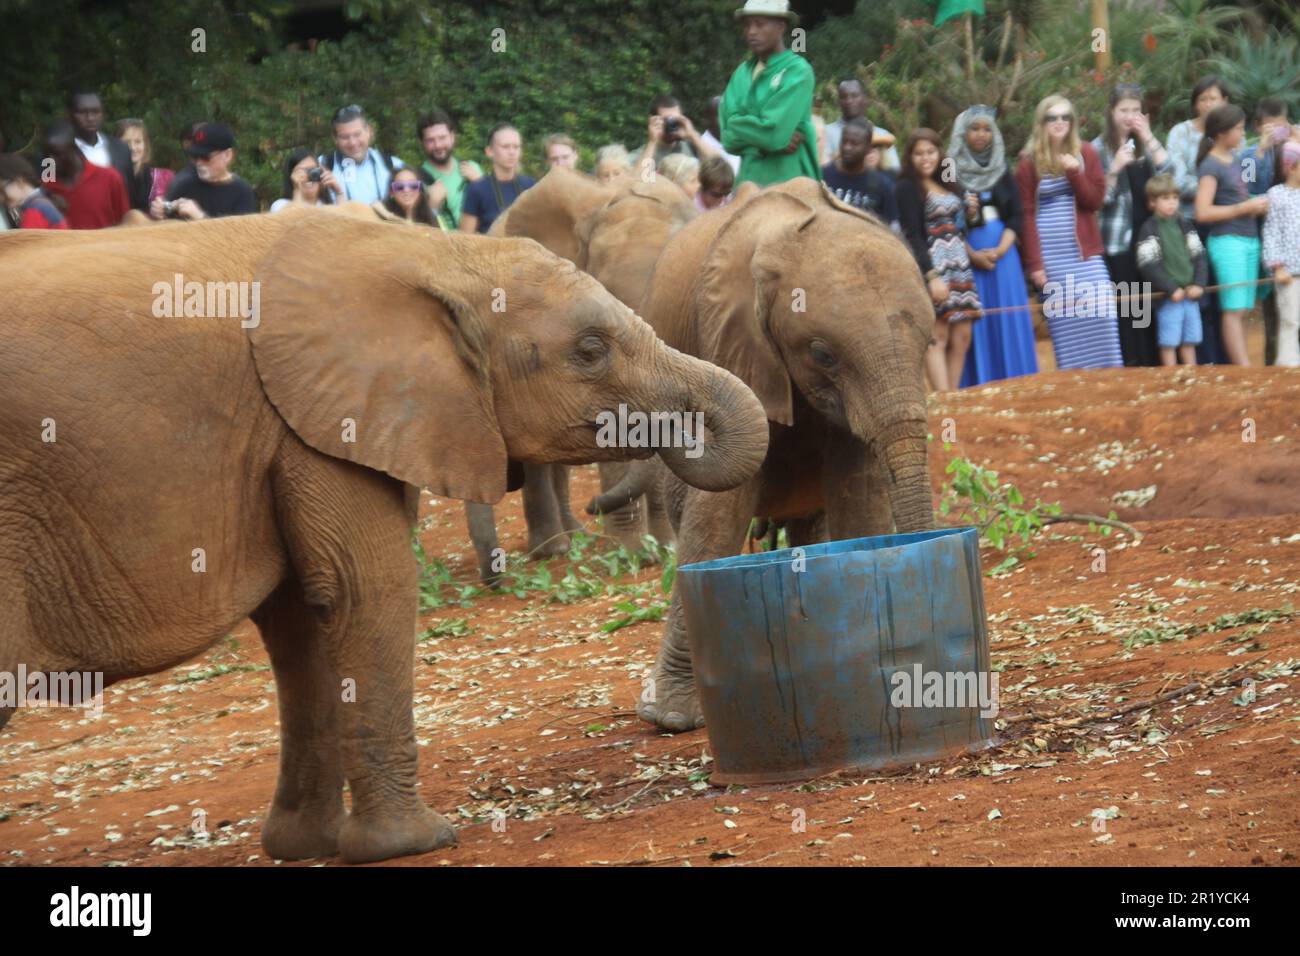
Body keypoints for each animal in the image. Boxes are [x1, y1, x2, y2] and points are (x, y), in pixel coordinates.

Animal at [0, 210, 769, 868]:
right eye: (589, 351)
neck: (430, 252)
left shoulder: (297, 425)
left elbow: (302, 619)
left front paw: (308, 846)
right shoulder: (319, 419)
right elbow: (368, 587)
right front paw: (418, 842)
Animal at [595, 178, 941, 733]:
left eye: (929, 342)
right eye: (822, 355)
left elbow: (859, 500)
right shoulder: (726, 341)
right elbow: (717, 515)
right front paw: (670, 718)